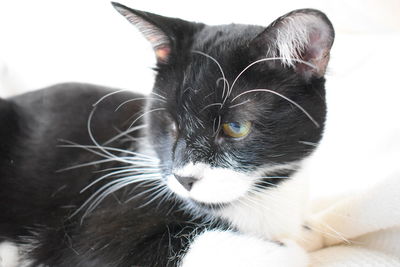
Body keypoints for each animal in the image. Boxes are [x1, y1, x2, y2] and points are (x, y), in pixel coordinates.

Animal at [0, 2, 334, 267]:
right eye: (171, 124)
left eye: (236, 127)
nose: (184, 179)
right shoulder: (94, 223)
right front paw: (285, 249)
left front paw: (310, 230)